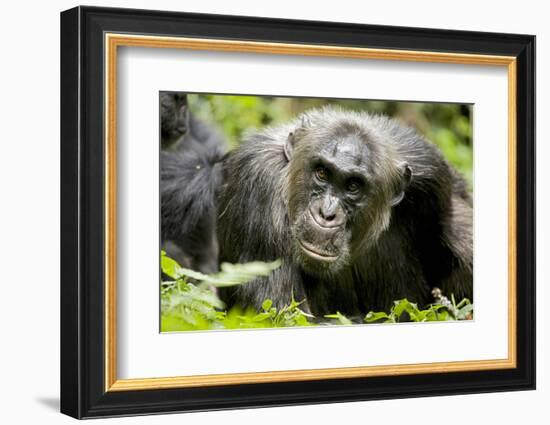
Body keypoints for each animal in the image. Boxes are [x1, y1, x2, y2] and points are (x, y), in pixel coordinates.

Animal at [218, 107, 476, 316]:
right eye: (322, 173)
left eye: (353, 186)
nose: (327, 213)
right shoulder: (257, 183)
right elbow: (282, 312)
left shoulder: (433, 175)